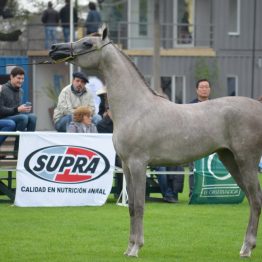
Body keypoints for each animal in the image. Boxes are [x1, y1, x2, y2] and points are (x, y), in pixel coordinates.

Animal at [49, 25, 262, 258]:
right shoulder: (126, 166)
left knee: (256, 200)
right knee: (252, 199)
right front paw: (128, 248)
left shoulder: (138, 164)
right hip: (230, 159)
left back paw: (247, 249)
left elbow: (141, 205)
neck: (135, 107)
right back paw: (245, 247)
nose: (55, 49)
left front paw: (136, 249)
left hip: (246, 161)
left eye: (87, 43)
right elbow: (132, 206)